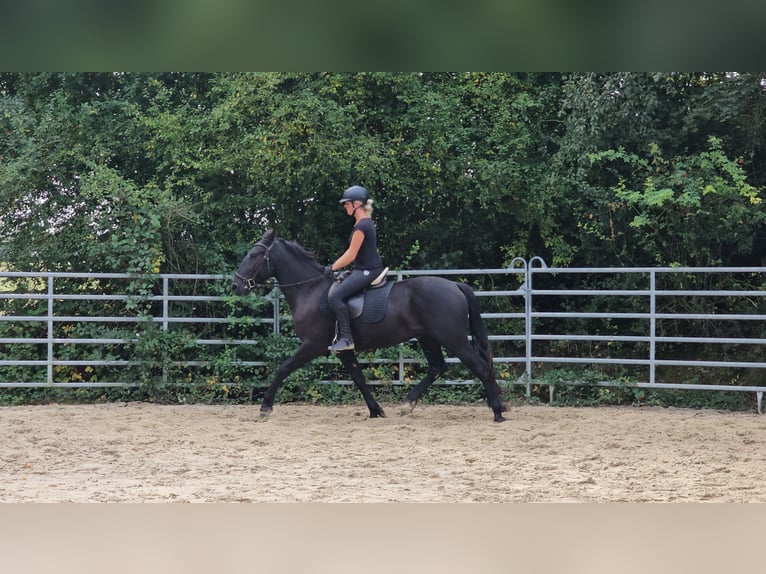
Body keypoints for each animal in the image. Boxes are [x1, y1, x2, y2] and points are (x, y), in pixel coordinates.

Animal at [234, 230, 510, 424]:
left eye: (254, 255)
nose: (236, 285)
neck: (310, 290)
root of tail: (455, 286)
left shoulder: (313, 345)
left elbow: (284, 368)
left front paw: (265, 407)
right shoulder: (343, 349)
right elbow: (358, 377)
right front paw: (375, 410)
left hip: (454, 339)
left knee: (479, 367)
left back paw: (497, 412)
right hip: (428, 338)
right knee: (437, 367)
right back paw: (408, 404)